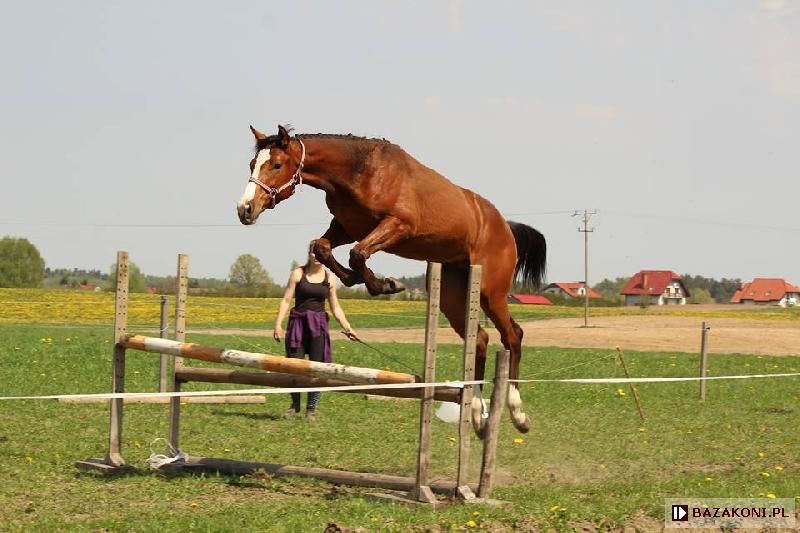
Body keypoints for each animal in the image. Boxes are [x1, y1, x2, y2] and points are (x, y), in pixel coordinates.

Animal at [236, 125, 544, 436]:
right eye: (252, 165)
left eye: (276, 165)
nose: (245, 209)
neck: (358, 172)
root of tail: (505, 227)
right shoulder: (346, 226)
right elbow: (323, 248)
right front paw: (363, 281)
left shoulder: (397, 225)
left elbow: (357, 254)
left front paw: (386, 285)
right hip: (453, 294)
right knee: (480, 339)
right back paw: (479, 414)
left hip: (491, 292)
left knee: (512, 335)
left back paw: (518, 413)